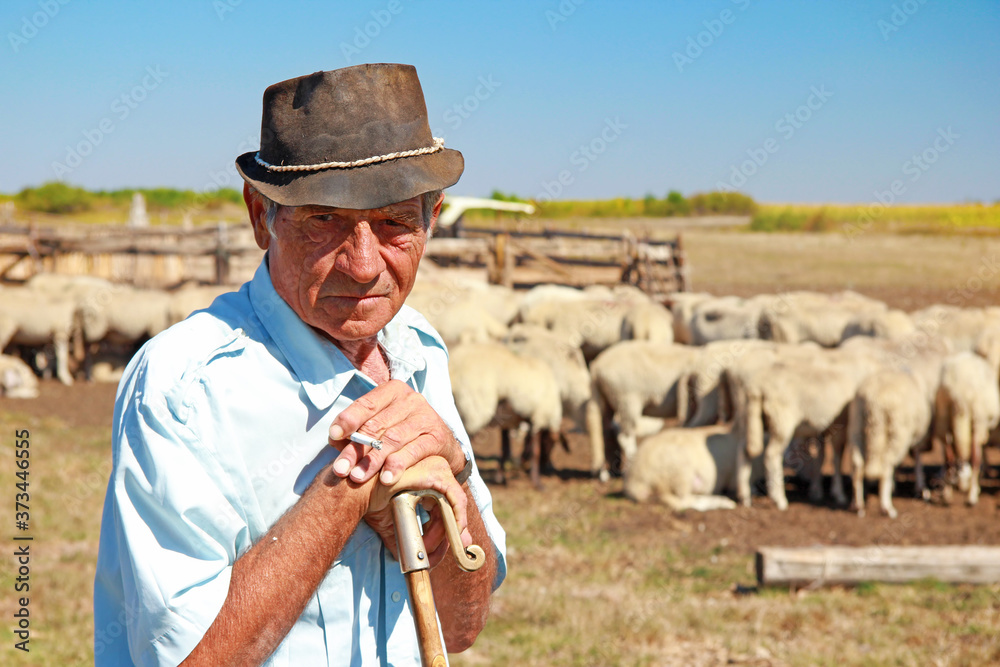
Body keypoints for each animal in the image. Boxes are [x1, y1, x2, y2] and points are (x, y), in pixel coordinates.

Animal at [448, 342, 564, 488]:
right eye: (551, 443)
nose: (546, 467)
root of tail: (453, 367)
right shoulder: (538, 417)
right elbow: (535, 451)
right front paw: (537, 482)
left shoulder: (507, 423)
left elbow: (505, 449)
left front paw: (500, 478)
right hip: (475, 410)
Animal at [848, 368, 932, 520]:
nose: (930, 447)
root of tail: (874, 402)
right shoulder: (917, 437)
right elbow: (918, 459)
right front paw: (921, 487)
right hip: (898, 432)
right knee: (885, 467)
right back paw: (887, 507)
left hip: (856, 427)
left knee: (858, 466)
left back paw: (857, 505)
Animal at [932, 352, 996, 504]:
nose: (961, 486)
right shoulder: (980, 424)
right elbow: (975, 457)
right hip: (978, 419)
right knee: (974, 456)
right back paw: (971, 494)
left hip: (943, 418)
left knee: (950, 458)